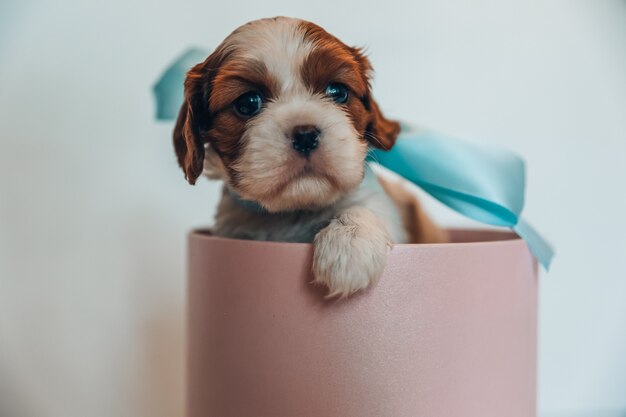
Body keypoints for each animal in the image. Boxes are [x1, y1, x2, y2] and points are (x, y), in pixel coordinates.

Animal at [172, 16, 444, 296]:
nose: (305, 135)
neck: (296, 210)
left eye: (337, 92)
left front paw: (348, 246)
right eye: (248, 103)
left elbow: (365, 206)